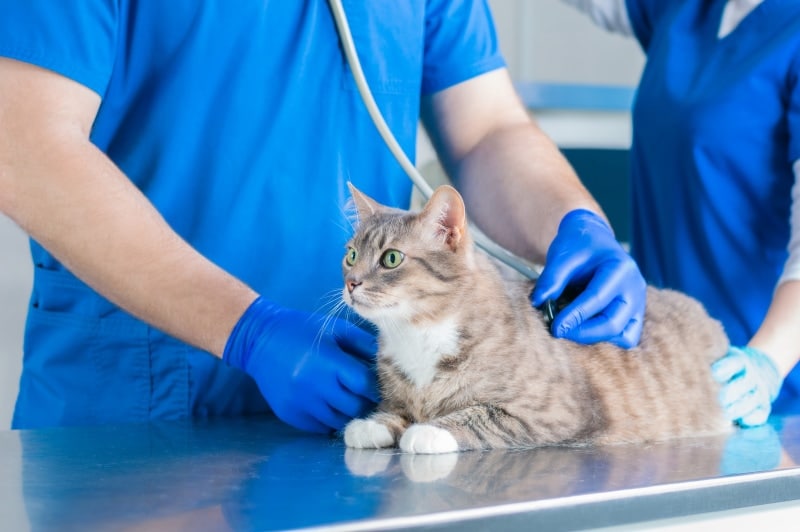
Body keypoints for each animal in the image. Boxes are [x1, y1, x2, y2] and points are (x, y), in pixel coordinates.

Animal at [340, 183, 728, 454]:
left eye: (391, 258)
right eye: (351, 254)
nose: (351, 283)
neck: (418, 335)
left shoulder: (554, 413)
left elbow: (479, 415)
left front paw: (429, 430)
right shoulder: (399, 396)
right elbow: (394, 410)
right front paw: (372, 424)